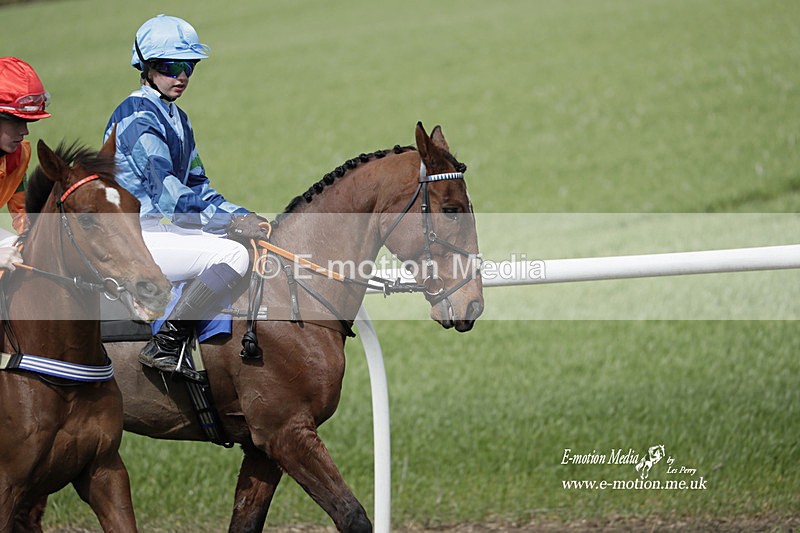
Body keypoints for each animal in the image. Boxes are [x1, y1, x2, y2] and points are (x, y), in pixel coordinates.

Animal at [101, 122, 483, 532]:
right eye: (451, 210)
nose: (473, 303)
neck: (289, 293)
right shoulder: (285, 432)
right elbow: (352, 515)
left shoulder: (263, 447)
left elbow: (247, 521)